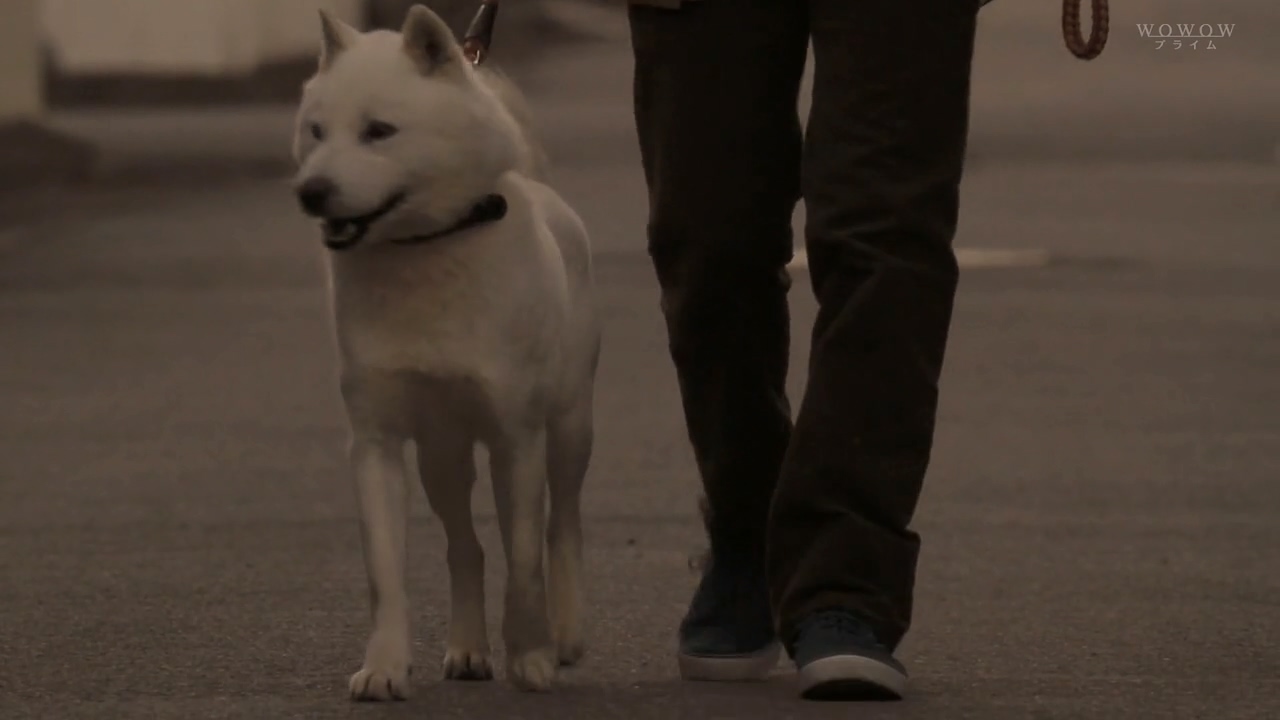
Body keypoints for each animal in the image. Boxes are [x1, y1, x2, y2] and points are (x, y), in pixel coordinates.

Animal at [290, 5, 600, 699]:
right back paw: (467, 650)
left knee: (563, 526)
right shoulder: (376, 443)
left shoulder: (517, 438)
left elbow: (524, 563)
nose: (310, 191)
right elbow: (386, 577)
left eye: (378, 131)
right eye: (316, 131)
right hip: (442, 457)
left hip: (570, 429)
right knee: (466, 548)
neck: (427, 246)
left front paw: (531, 657)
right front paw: (384, 668)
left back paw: (567, 634)